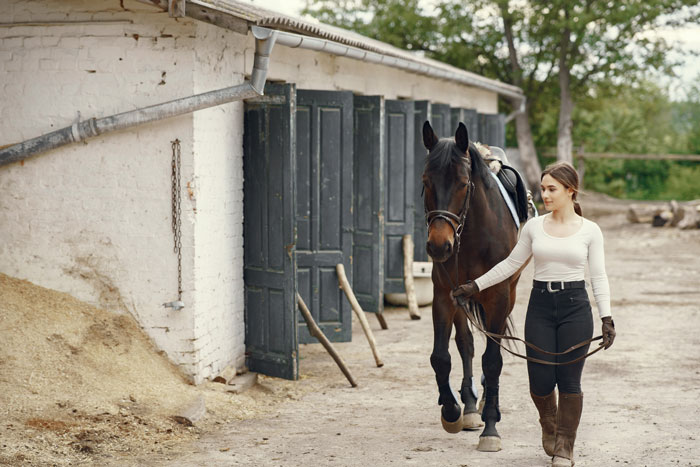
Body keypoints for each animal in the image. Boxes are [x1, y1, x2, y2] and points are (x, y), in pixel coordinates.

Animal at [422, 120, 526, 452]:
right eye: (426, 181)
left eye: (464, 184)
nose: (439, 245)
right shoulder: (444, 295)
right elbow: (441, 356)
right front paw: (452, 410)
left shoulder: (498, 296)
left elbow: (492, 360)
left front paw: (491, 427)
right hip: (462, 298)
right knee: (465, 344)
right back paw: (469, 407)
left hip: (507, 295)